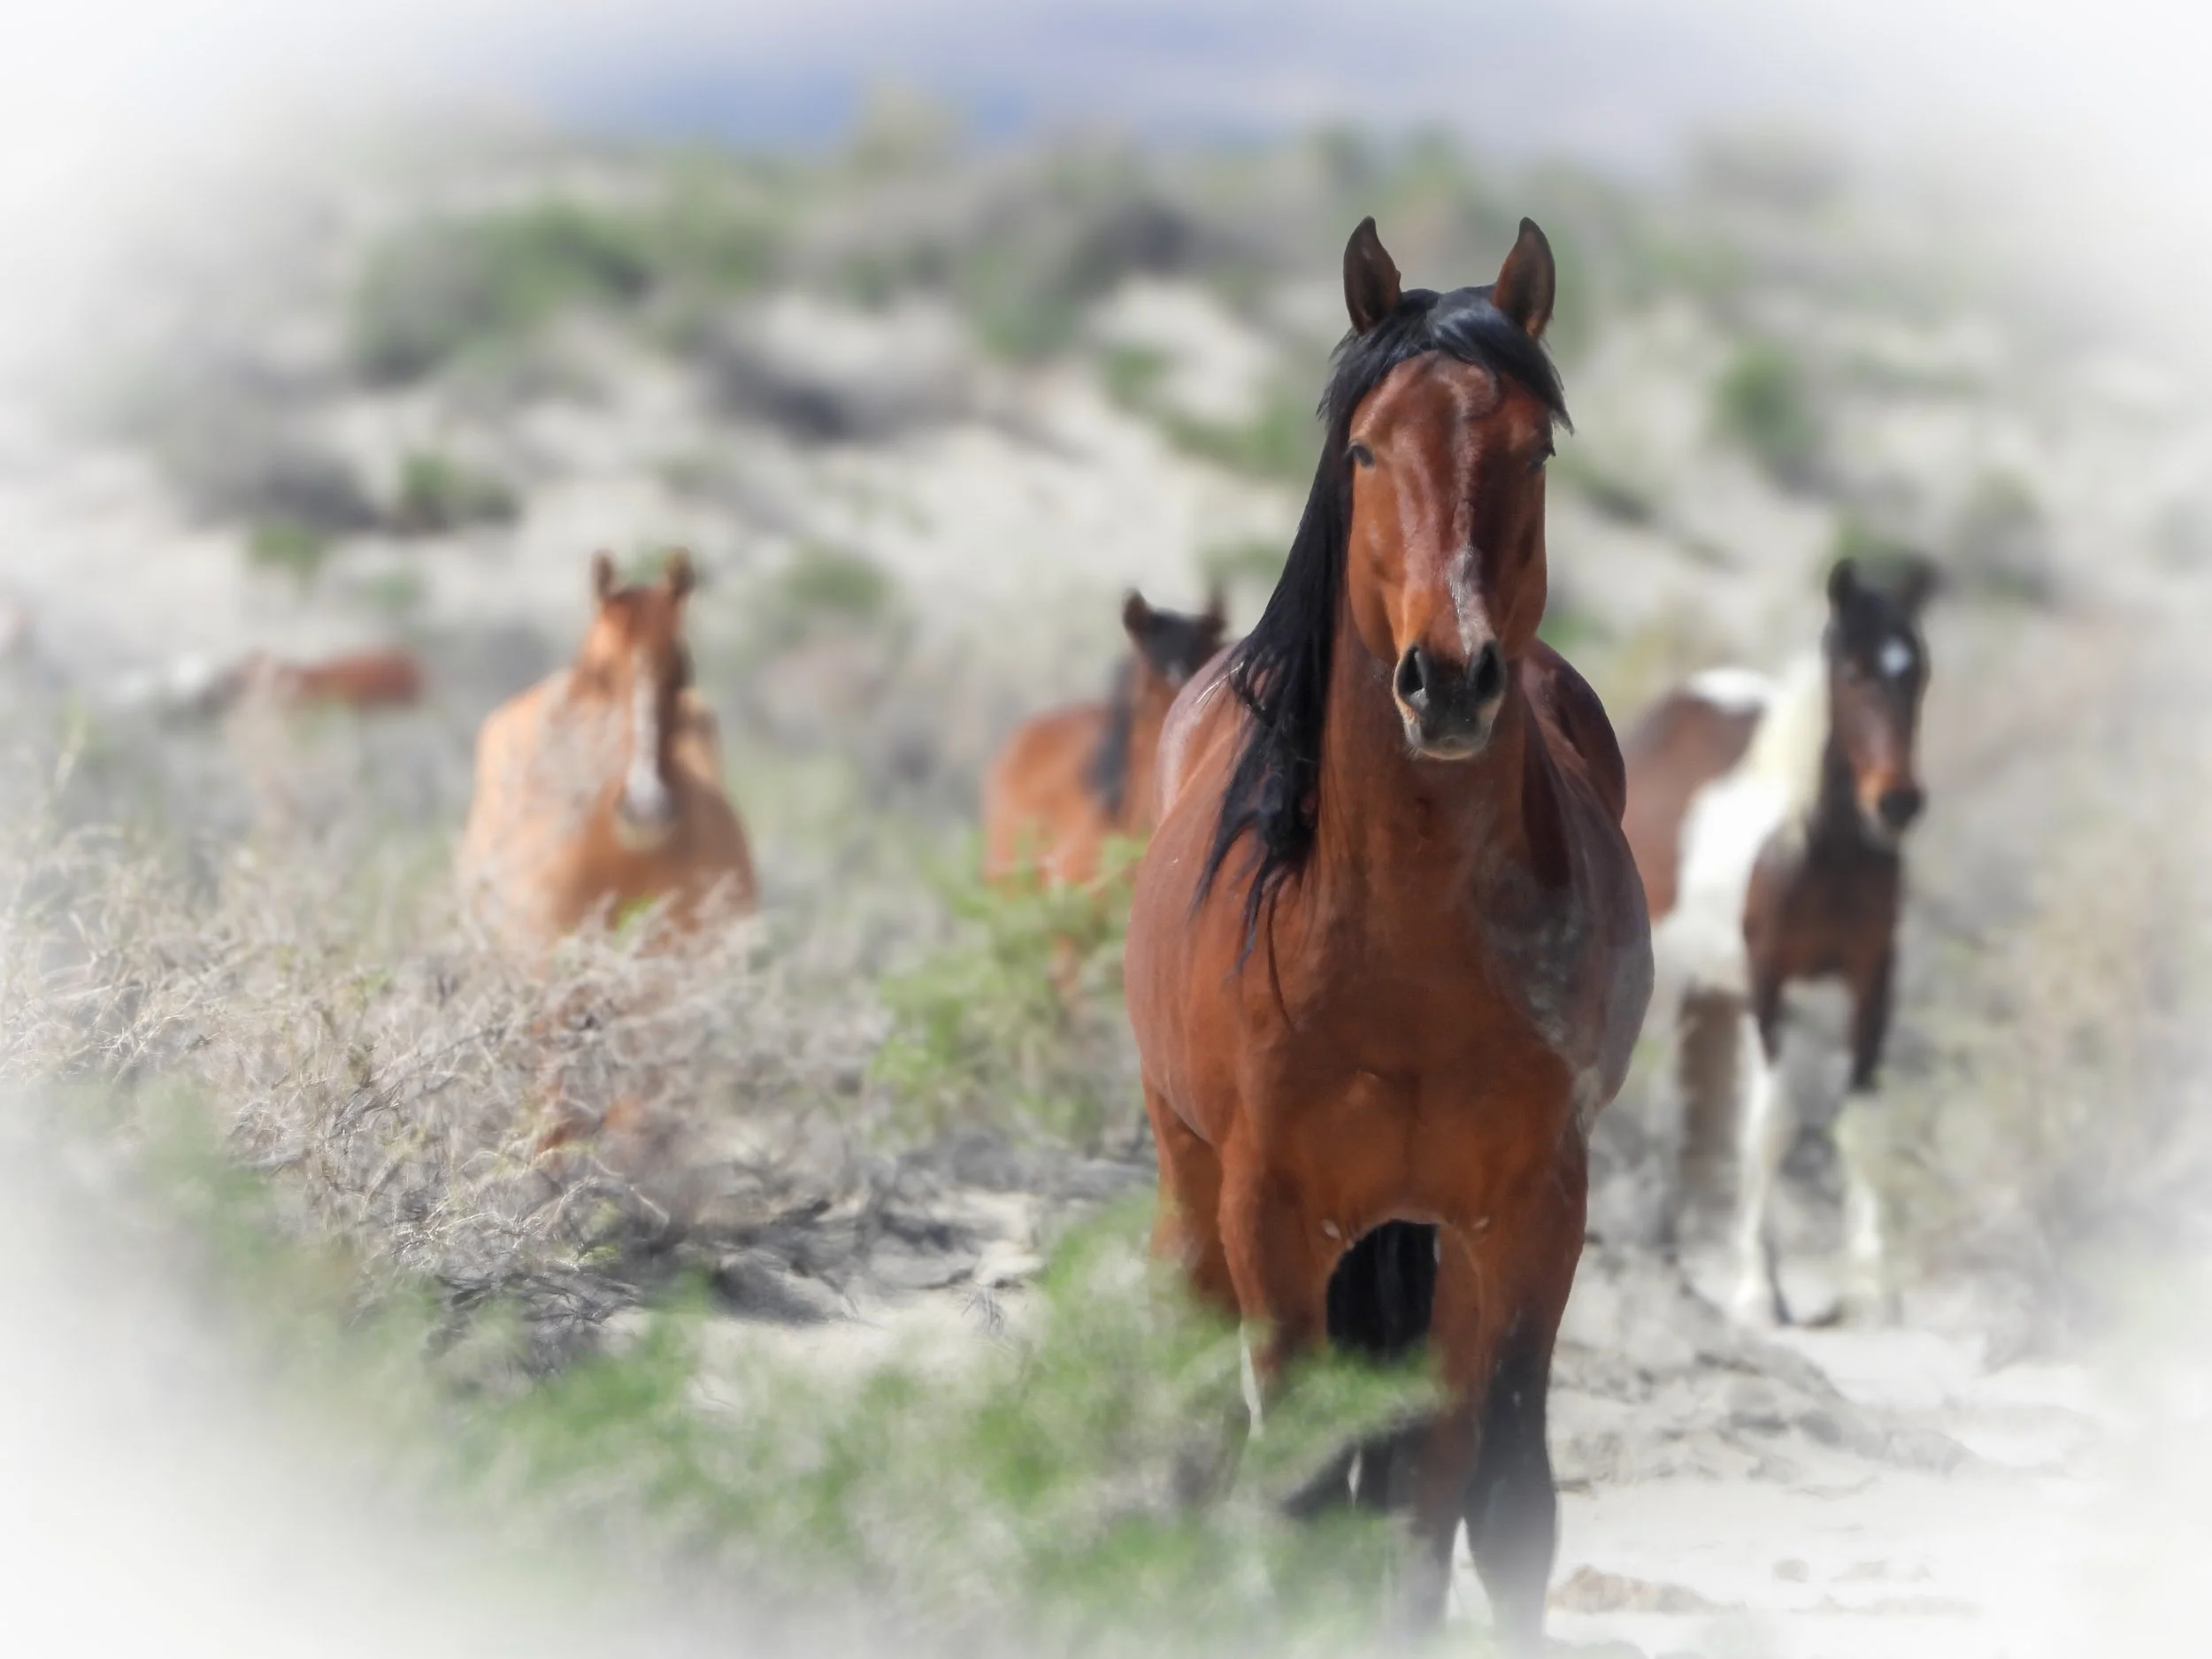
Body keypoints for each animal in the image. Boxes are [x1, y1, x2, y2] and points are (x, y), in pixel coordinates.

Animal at [1123, 217, 1651, 1649]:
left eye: (1530, 449)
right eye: (1366, 447)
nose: (1451, 677)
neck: (1403, 943)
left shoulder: (1533, 1210)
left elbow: (1502, 1504)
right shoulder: (1273, 1212)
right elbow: (1302, 1493)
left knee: (1432, 1472)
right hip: (1195, 1191)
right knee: (1201, 1441)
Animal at [1622, 554, 1936, 1325]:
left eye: (1916, 670)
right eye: (1851, 670)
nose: (1898, 802)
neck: (1819, 851)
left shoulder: (1872, 983)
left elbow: (1860, 1124)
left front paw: (1872, 1283)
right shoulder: (1769, 983)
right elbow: (1770, 1124)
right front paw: (1758, 1287)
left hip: (1711, 992)